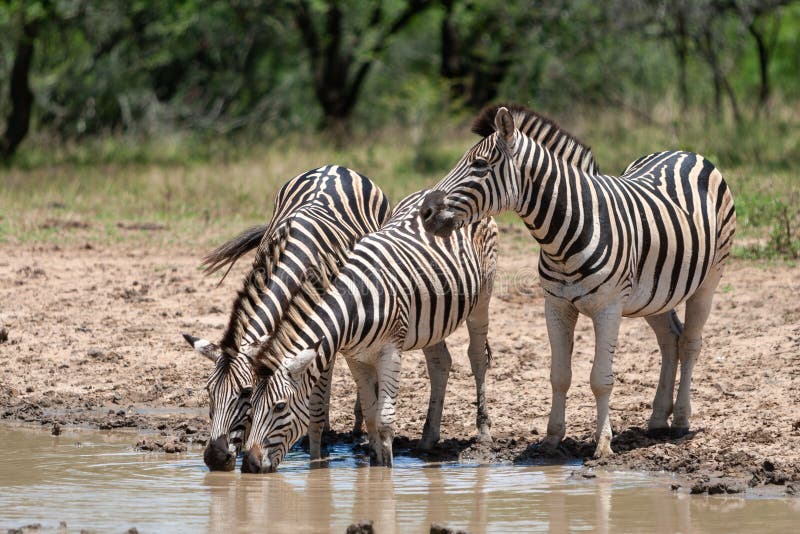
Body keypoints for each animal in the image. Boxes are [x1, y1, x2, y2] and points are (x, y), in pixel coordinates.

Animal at [182, 165, 394, 472]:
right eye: (209, 391)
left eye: (245, 392)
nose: (215, 458)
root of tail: (335, 166)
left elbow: (313, 410)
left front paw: (317, 463)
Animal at [241, 192, 496, 474]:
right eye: (250, 403)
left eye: (280, 406)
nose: (249, 465)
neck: (355, 305)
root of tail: (431, 190)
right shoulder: (356, 358)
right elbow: (372, 415)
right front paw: (375, 463)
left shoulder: (391, 351)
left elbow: (384, 419)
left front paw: (386, 472)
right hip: (433, 322)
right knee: (440, 363)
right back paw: (428, 440)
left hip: (483, 297)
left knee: (477, 357)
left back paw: (483, 432)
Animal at [422, 104, 736, 460]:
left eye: (479, 164)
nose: (425, 211)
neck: (566, 235)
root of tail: (684, 152)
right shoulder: (556, 305)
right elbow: (559, 375)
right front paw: (551, 439)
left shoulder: (609, 308)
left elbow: (601, 378)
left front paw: (603, 444)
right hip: (655, 292)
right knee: (671, 339)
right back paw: (658, 418)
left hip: (709, 280)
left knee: (690, 342)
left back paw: (681, 419)